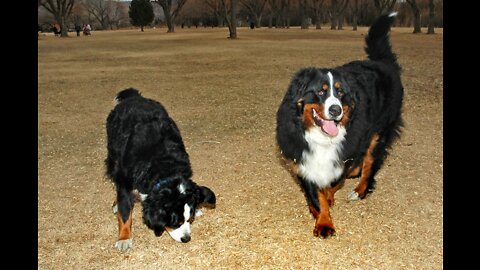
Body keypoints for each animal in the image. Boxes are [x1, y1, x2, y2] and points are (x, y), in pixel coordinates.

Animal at [107, 88, 218, 251]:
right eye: (175, 223)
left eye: (190, 220)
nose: (186, 239)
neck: (164, 170)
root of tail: (134, 97)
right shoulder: (125, 180)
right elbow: (125, 212)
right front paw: (124, 238)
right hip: (113, 155)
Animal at [276, 12, 404, 237]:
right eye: (320, 91)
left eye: (341, 92)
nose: (336, 110)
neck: (322, 138)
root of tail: (382, 63)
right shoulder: (302, 157)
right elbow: (316, 194)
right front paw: (322, 219)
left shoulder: (345, 152)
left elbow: (333, 182)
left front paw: (326, 207)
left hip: (378, 133)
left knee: (369, 163)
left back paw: (359, 191)